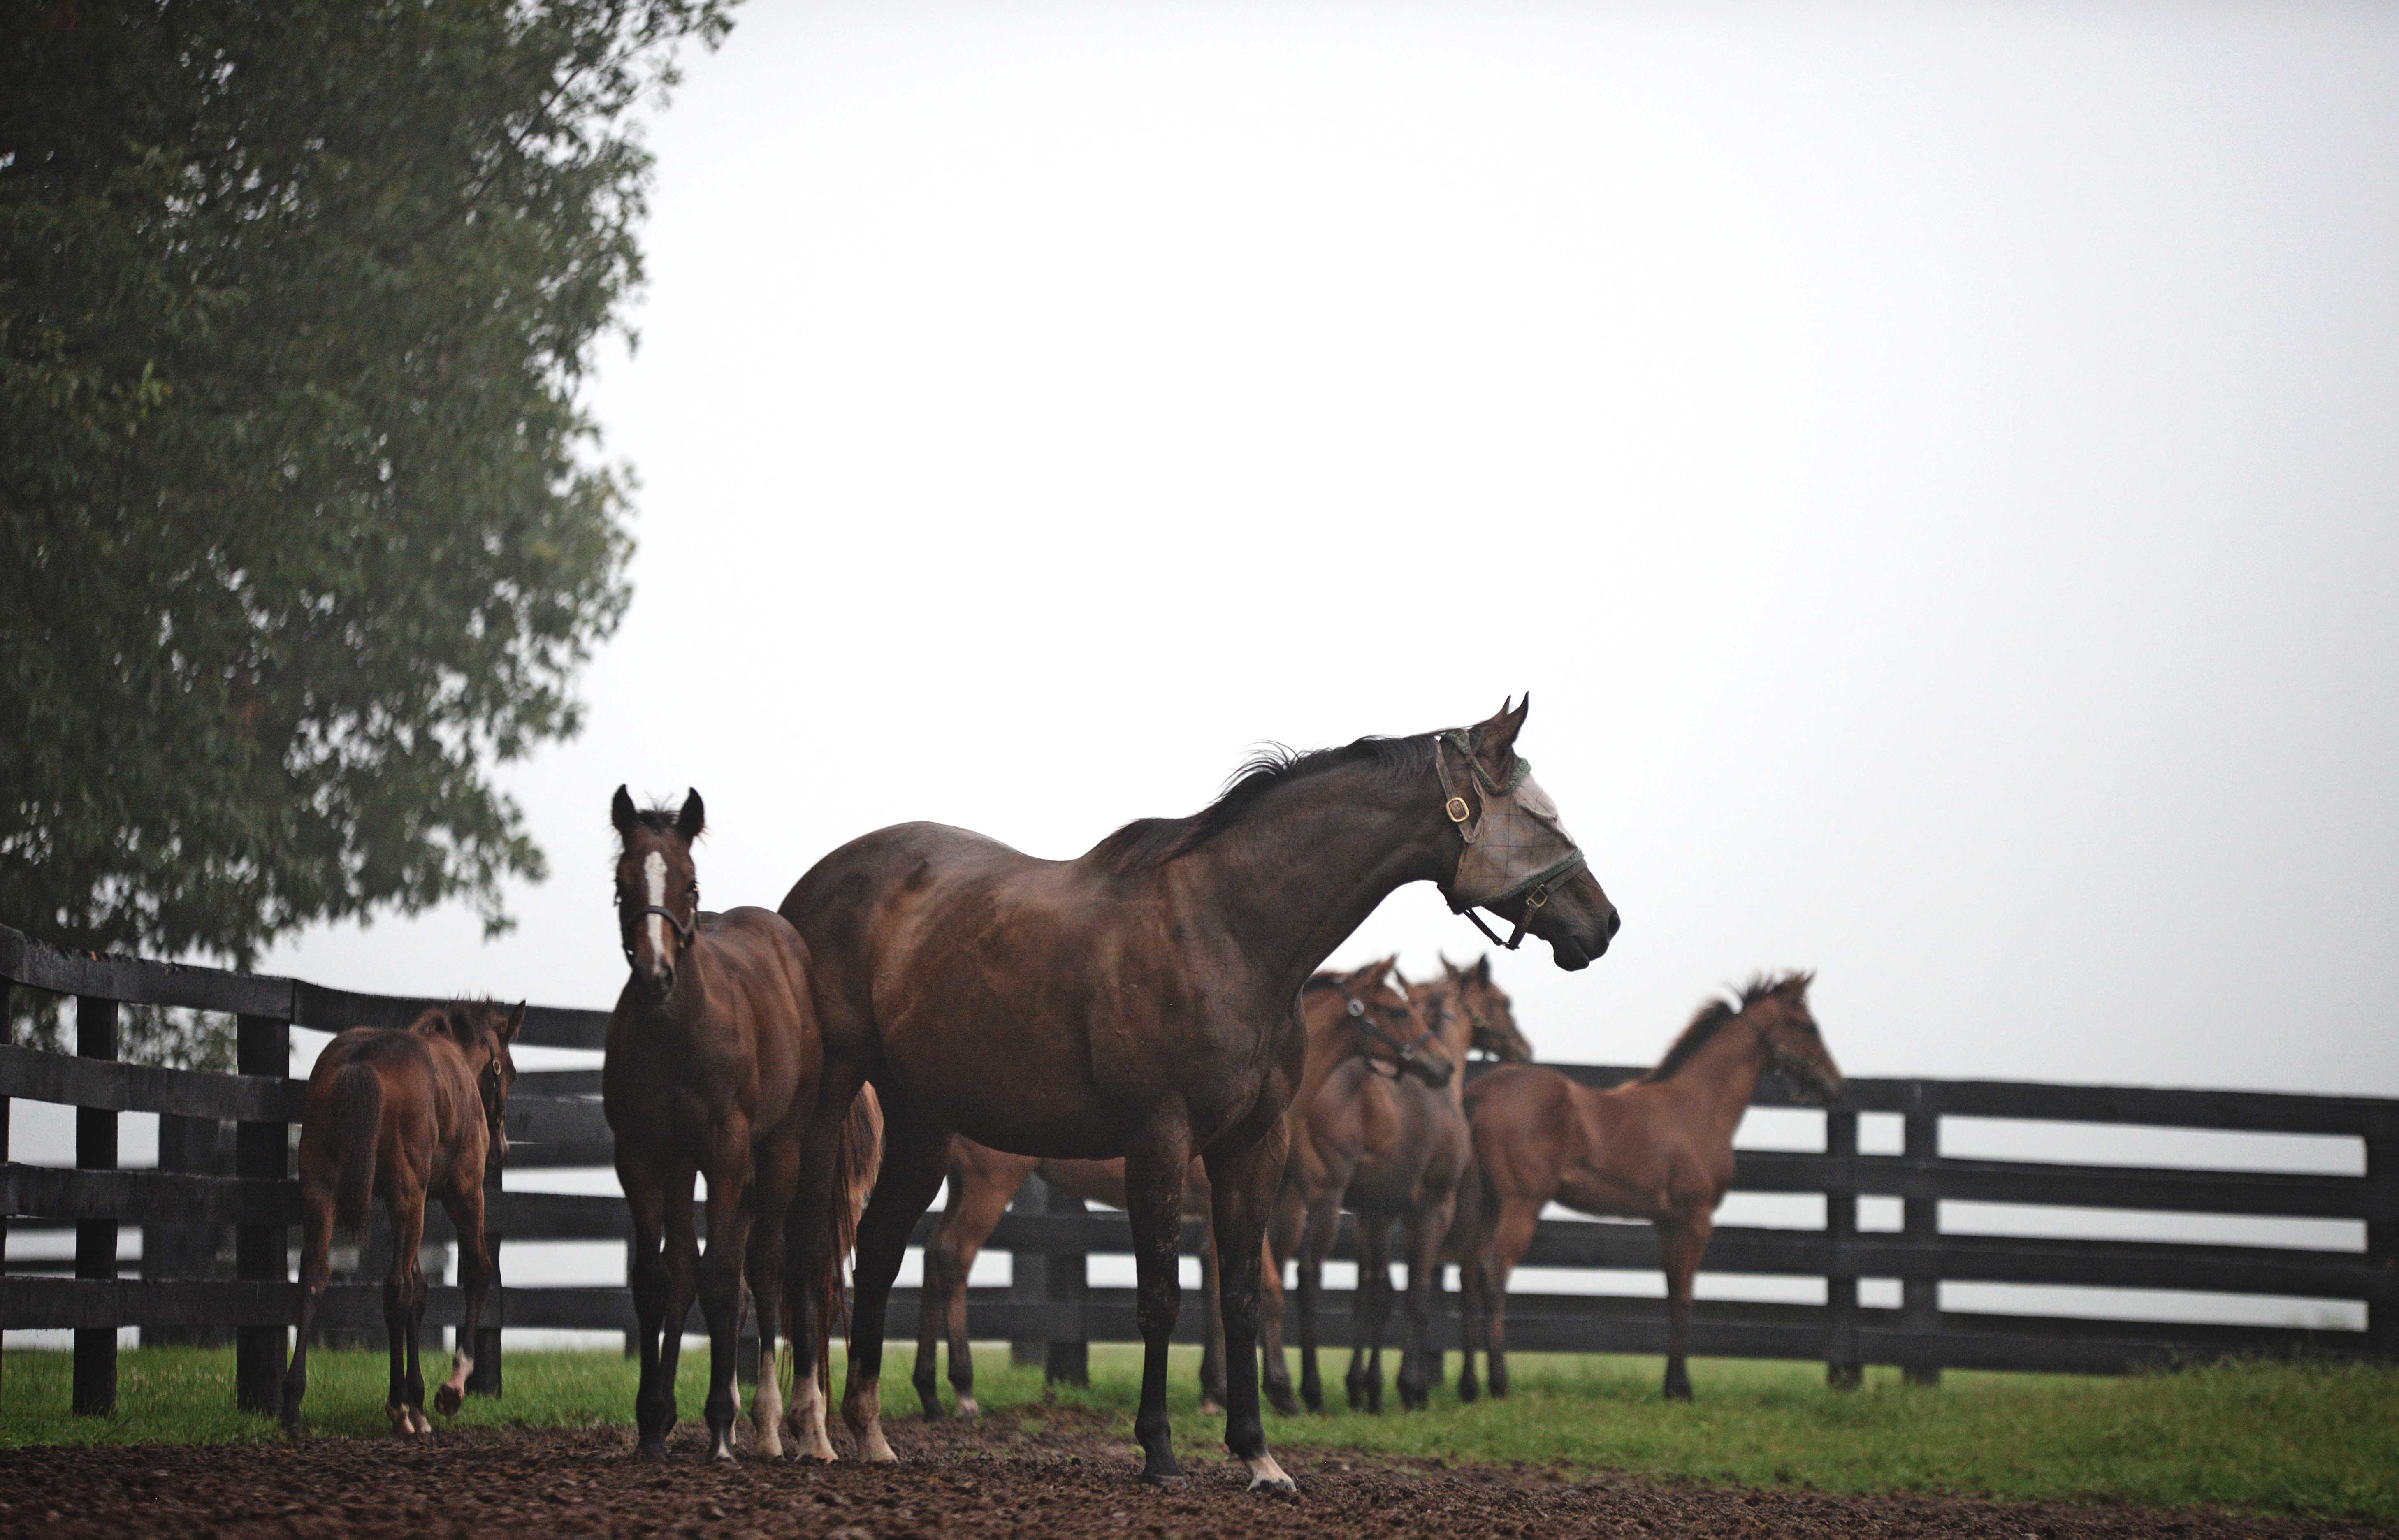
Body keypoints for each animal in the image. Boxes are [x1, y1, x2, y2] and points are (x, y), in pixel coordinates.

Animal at [281, 998, 525, 1429]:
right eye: (508, 1071)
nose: (501, 1149)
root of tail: (359, 1060)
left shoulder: (412, 1203)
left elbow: (421, 1291)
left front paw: (419, 1399)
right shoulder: (463, 1194)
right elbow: (477, 1273)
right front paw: (450, 1388)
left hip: (322, 1190)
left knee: (316, 1275)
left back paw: (294, 1402)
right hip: (409, 1196)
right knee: (396, 1287)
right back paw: (397, 1406)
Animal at [604, 786, 878, 1458]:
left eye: (691, 883)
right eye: (623, 882)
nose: (655, 975)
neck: (676, 1034)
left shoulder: (725, 1153)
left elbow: (725, 1277)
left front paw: (722, 1427)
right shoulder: (641, 1155)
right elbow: (656, 1278)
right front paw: (652, 1421)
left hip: (778, 1153)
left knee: (766, 1266)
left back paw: (773, 1424)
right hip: (686, 1167)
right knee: (687, 1270)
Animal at [907, 959, 1439, 1420]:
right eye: (1398, 1010)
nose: (1444, 1066)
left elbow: (1217, 1291)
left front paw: (1217, 1393)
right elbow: (1266, 1290)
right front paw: (1280, 1392)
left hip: (956, 1183)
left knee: (932, 1256)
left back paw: (929, 1392)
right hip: (990, 1183)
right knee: (954, 1255)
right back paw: (964, 1390)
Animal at [1439, 969, 1833, 1401]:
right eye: (1809, 1027)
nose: (1834, 1083)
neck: (1698, 1108)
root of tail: (1481, 1093)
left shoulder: (1668, 1224)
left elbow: (1673, 1295)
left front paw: (1671, 1386)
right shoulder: (1696, 1220)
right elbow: (1685, 1299)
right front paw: (1682, 1389)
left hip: (1486, 1205)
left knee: (1469, 1276)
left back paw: (1469, 1387)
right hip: (1520, 1205)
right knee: (1494, 1275)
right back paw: (1499, 1384)